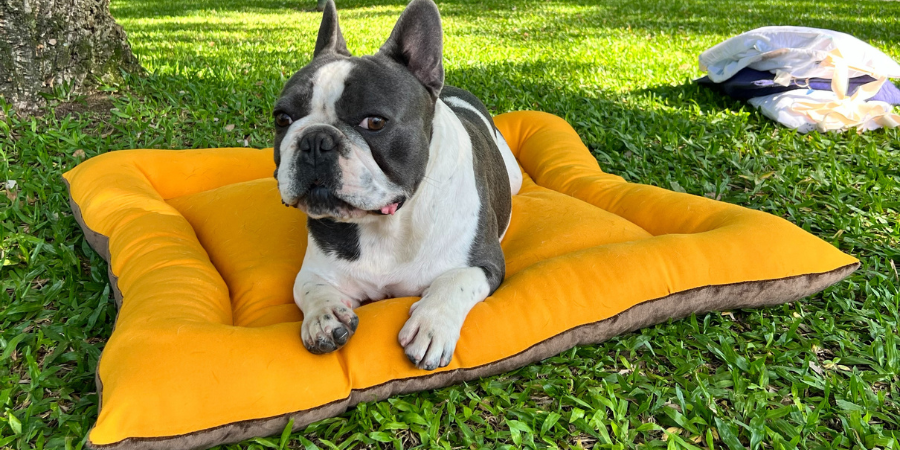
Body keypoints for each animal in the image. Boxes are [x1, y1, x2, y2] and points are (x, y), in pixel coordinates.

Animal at [272, 0, 520, 370]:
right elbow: (309, 288)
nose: (315, 139)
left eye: (374, 122)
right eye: (282, 119)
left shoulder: (485, 263)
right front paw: (324, 316)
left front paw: (430, 324)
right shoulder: (315, 270)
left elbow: (454, 281)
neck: (387, 222)